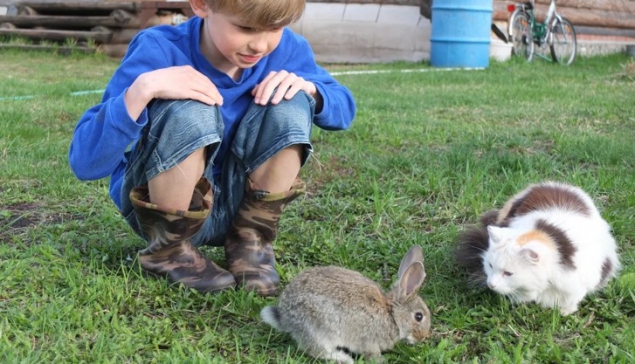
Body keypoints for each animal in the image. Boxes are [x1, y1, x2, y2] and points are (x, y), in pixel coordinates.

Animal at [260, 246, 432, 362]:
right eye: (418, 316)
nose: (423, 337)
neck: (392, 315)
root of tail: (284, 318)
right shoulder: (369, 341)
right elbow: (372, 354)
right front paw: (381, 360)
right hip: (317, 330)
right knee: (317, 351)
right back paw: (344, 358)